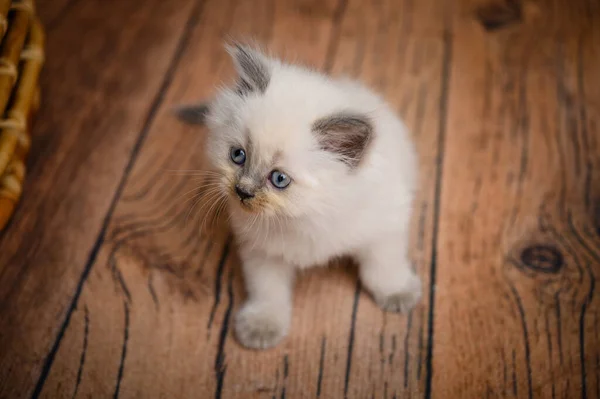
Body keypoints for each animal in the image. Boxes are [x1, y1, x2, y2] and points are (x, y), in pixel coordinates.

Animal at [176, 43, 420, 350]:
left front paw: (398, 293)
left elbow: (383, 268)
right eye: (238, 155)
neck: (305, 216)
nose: (242, 191)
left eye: (279, 179)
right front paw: (262, 325)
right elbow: (268, 290)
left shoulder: (384, 227)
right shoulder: (262, 251)